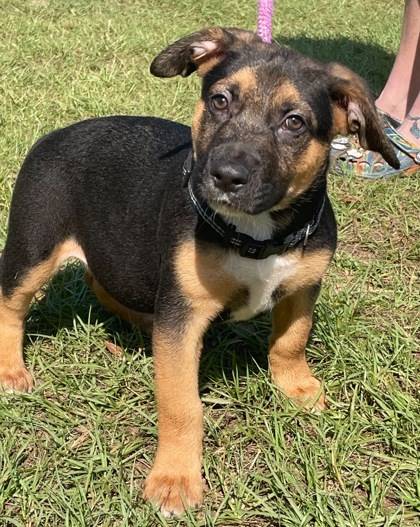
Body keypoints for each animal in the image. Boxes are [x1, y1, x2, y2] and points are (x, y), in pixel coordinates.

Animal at [0, 27, 398, 516]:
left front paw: (298, 388)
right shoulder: (184, 308)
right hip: (33, 247)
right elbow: (181, 404)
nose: (225, 175)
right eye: (220, 100)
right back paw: (11, 370)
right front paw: (174, 479)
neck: (255, 235)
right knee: (11, 303)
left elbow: (292, 340)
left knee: (103, 280)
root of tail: (55, 135)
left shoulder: (303, 285)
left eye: (295, 123)